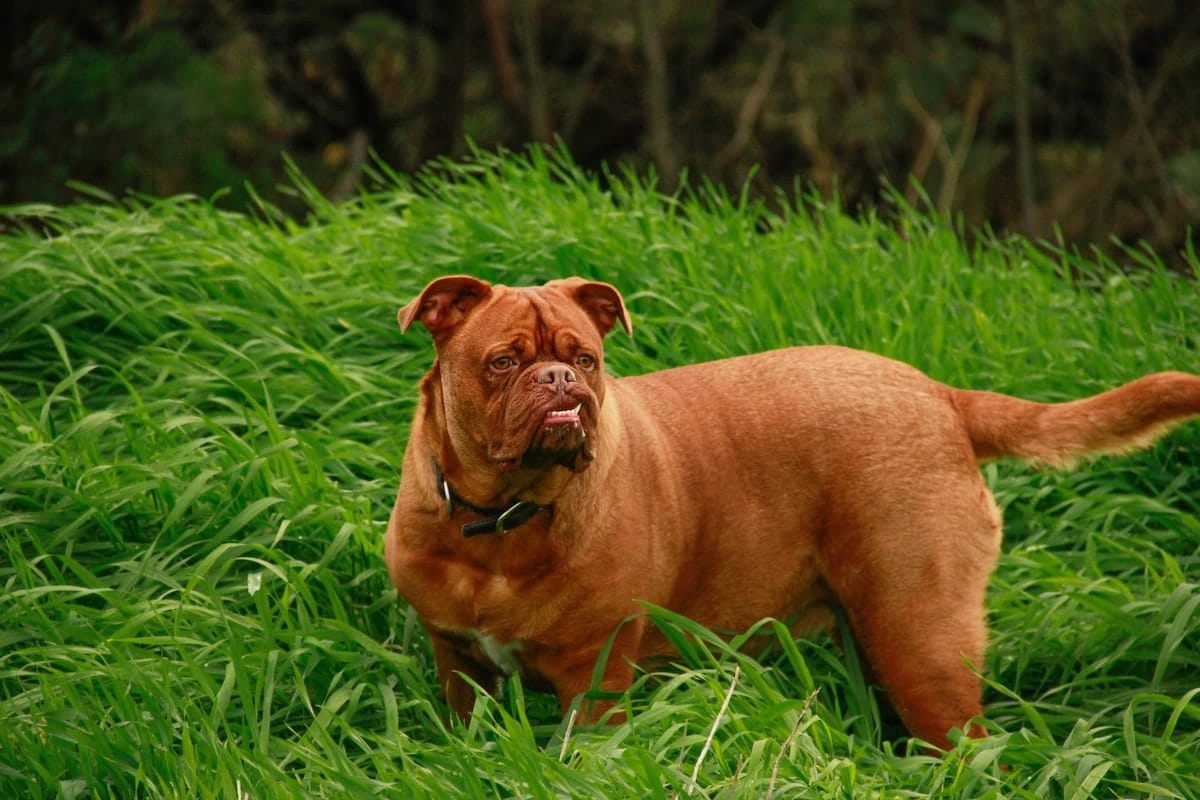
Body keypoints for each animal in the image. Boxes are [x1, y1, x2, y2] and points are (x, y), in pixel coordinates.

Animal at [386, 275, 1200, 753]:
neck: (500, 523)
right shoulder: (457, 664)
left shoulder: (595, 676)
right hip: (880, 636)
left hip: (920, 635)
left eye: (585, 358)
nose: (560, 380)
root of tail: (942, 396)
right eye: (502, 361)